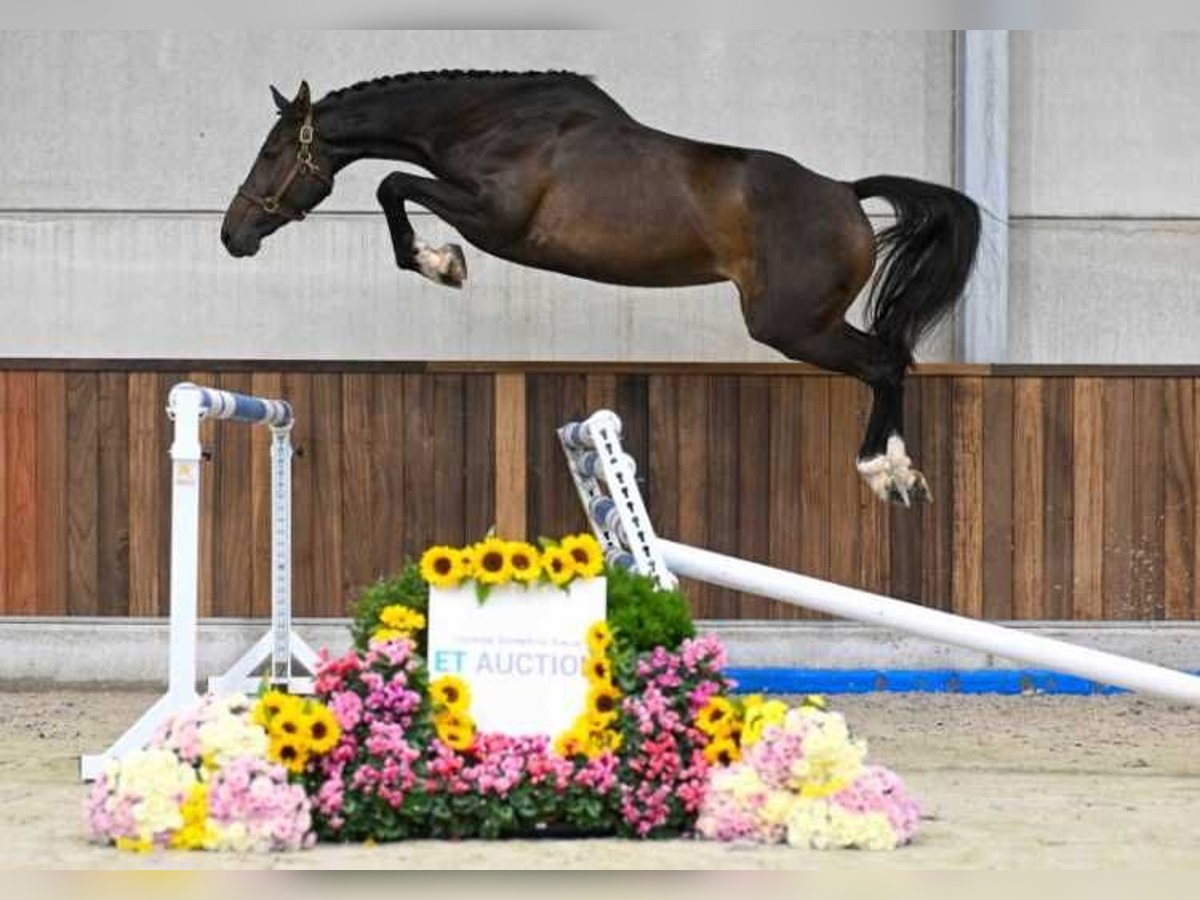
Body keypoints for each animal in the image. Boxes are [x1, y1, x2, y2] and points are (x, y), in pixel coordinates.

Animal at [220, 70, 979, 508]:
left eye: (272, 152)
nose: (233, 235)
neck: (489, 122)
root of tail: (847, 193)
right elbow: (396, 184)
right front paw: (441, 261)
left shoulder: (496, 218)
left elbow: (392, 182)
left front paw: (442, 263)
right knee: (889, 359)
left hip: (793, 326)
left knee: (884, 362)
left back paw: (888, 472)